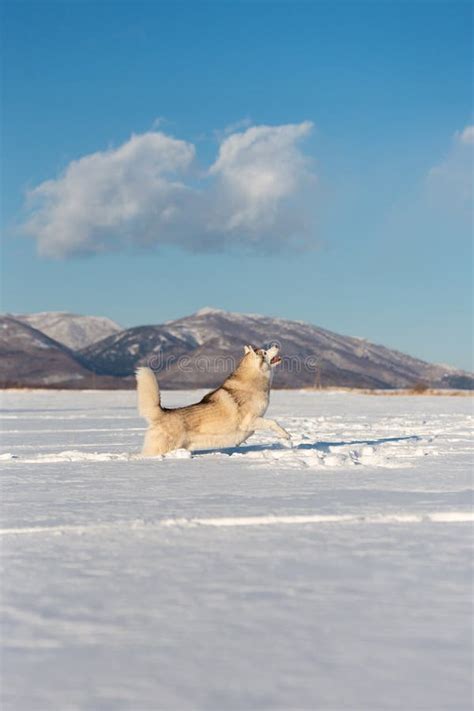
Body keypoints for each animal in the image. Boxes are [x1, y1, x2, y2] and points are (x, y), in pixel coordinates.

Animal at [135, 344, 290, 456]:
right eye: (264, 352)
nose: (276, 344)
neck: (253, 380)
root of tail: (162, 412)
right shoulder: (249, 421)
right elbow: (273, 422)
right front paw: (286, 435)